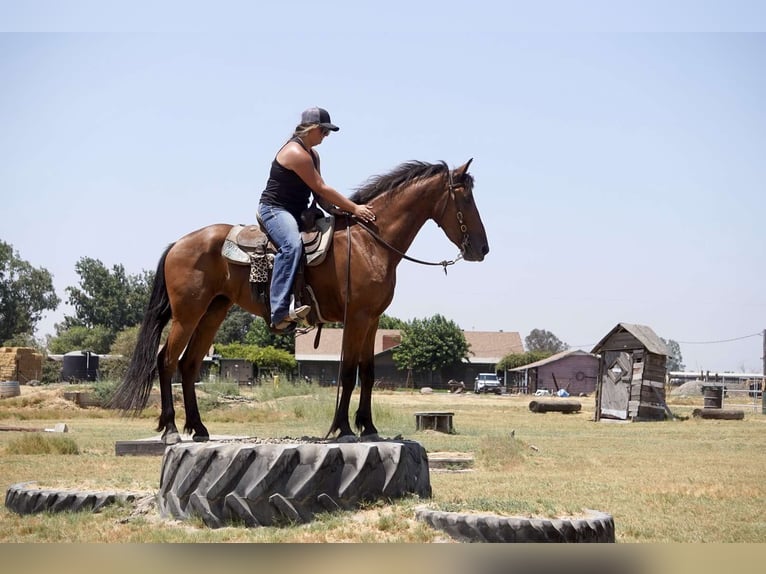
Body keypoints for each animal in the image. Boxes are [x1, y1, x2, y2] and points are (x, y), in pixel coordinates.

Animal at [110, 159, 489, 444]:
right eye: (465, 199)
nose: (482, 248)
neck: (370, 242)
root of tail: (178, 243)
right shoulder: (356, 318)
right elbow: (348, 373)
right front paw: (344, 429)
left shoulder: (372, 320)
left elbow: (367, 373)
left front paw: (368, 427)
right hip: (188, 314)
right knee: (166, 361)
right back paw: (172, 430)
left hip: (213, 312)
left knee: (189, 364)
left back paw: (199, 429)